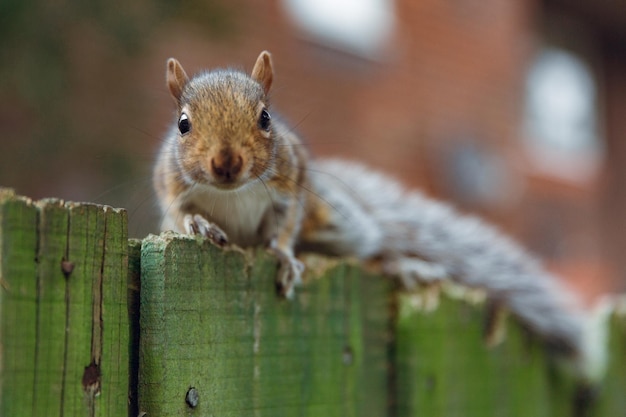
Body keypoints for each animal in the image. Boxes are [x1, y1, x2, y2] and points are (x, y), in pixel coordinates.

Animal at [154, 49, 608, 380]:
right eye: (183, 124)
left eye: (265, 118)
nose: (226, 164)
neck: (233, 193)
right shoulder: (170, 188)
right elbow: (177, 216)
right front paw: (197, 223)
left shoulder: (292, 185)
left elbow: (284, 229)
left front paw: (283, 259)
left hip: (341, 226)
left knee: (366, 251)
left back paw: (401, 266)